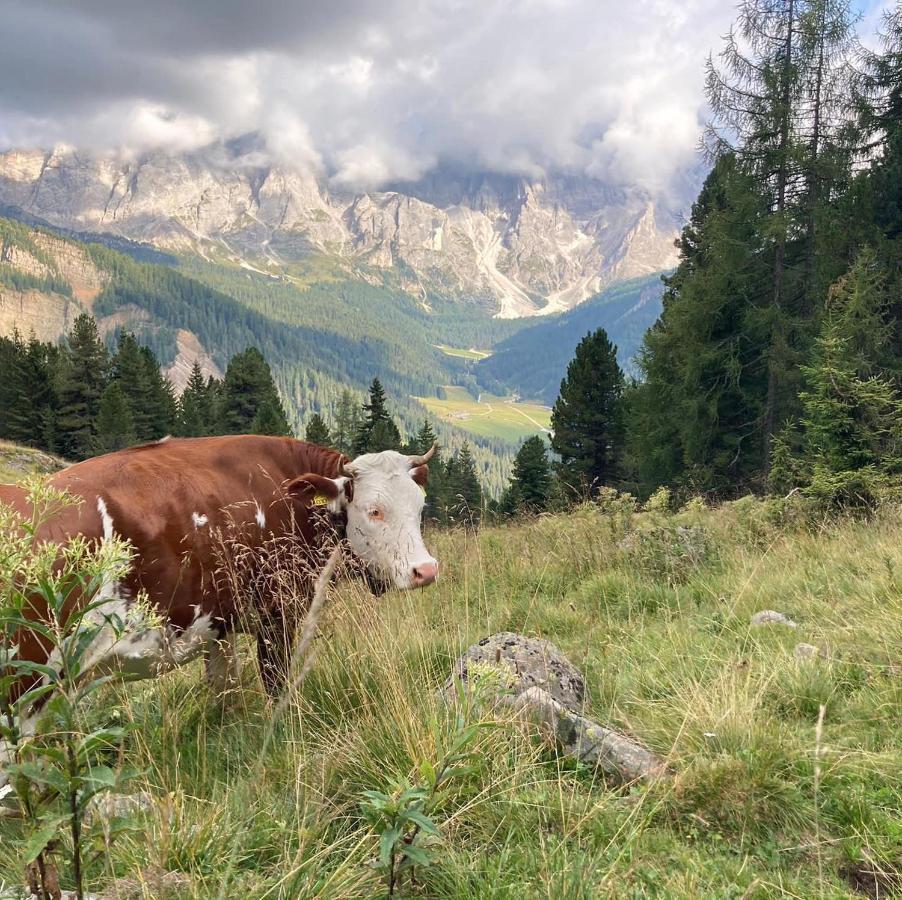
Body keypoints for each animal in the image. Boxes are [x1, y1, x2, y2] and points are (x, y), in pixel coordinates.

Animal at [0, 432, 438, 784]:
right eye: (374, 510)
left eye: (419, 508)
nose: (425, 570)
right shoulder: (279, 609)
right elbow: (276, 683)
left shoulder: (219, 625)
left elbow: (224, 689)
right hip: (24, 680)